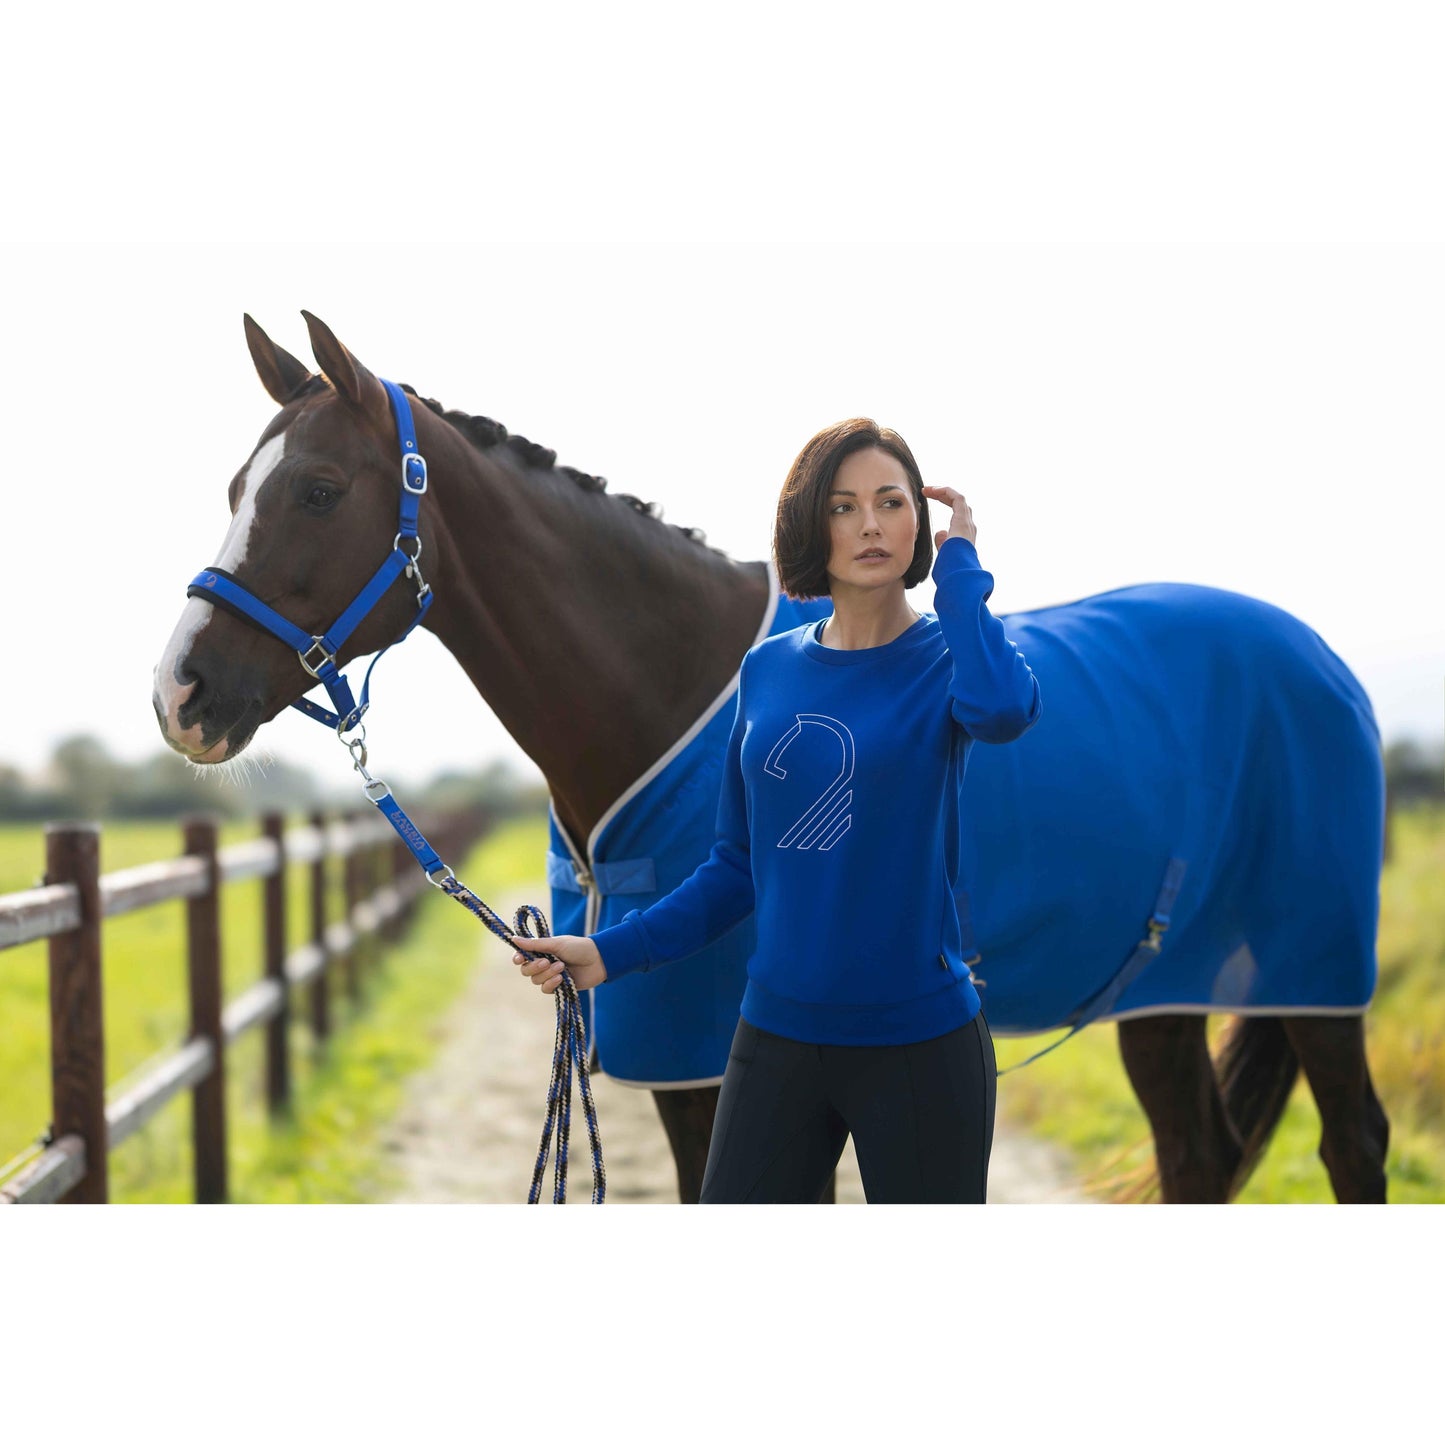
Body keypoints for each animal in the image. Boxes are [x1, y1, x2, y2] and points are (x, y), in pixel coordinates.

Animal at [153, 312, 1391, 1203]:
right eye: (235, 489)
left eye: (319, 490)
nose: (180, 692)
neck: (669, 685)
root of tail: (1320, 661)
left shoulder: (713, 1045)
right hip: (1156, 989)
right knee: (1195, 1154)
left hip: (1313, 971)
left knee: (1352, 1141)